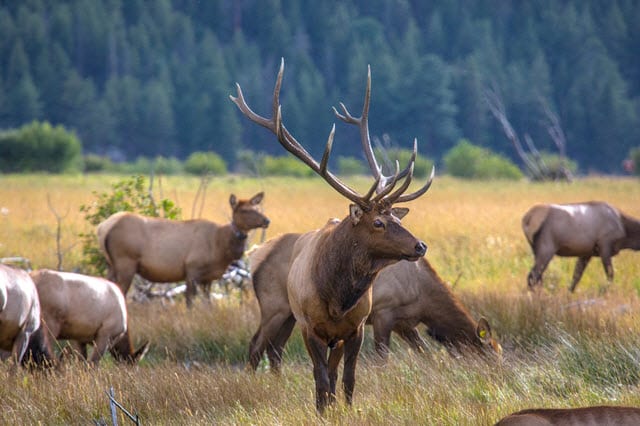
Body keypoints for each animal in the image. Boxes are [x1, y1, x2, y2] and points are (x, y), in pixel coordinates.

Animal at [229, 58, 430, 412]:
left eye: (395, 215)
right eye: (378, 223)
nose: (420, 245)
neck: (338, 298)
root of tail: (257, 255)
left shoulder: (355, 328)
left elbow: (347, 378)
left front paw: (345, 409)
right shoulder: (312, 327)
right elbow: (320, 377)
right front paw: (323, 410)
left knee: (286, 354)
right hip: (277, 308)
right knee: (264, 348)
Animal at [248, 233, 502, 372]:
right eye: (490, 355)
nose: (500, 374)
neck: (423, 297)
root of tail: (255, 255)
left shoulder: (404, 323)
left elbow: (425, 353)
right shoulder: (383, 313)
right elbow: (382, 358)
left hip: (291, 315)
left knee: (275, 349)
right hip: (274, 308)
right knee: (256, 344)